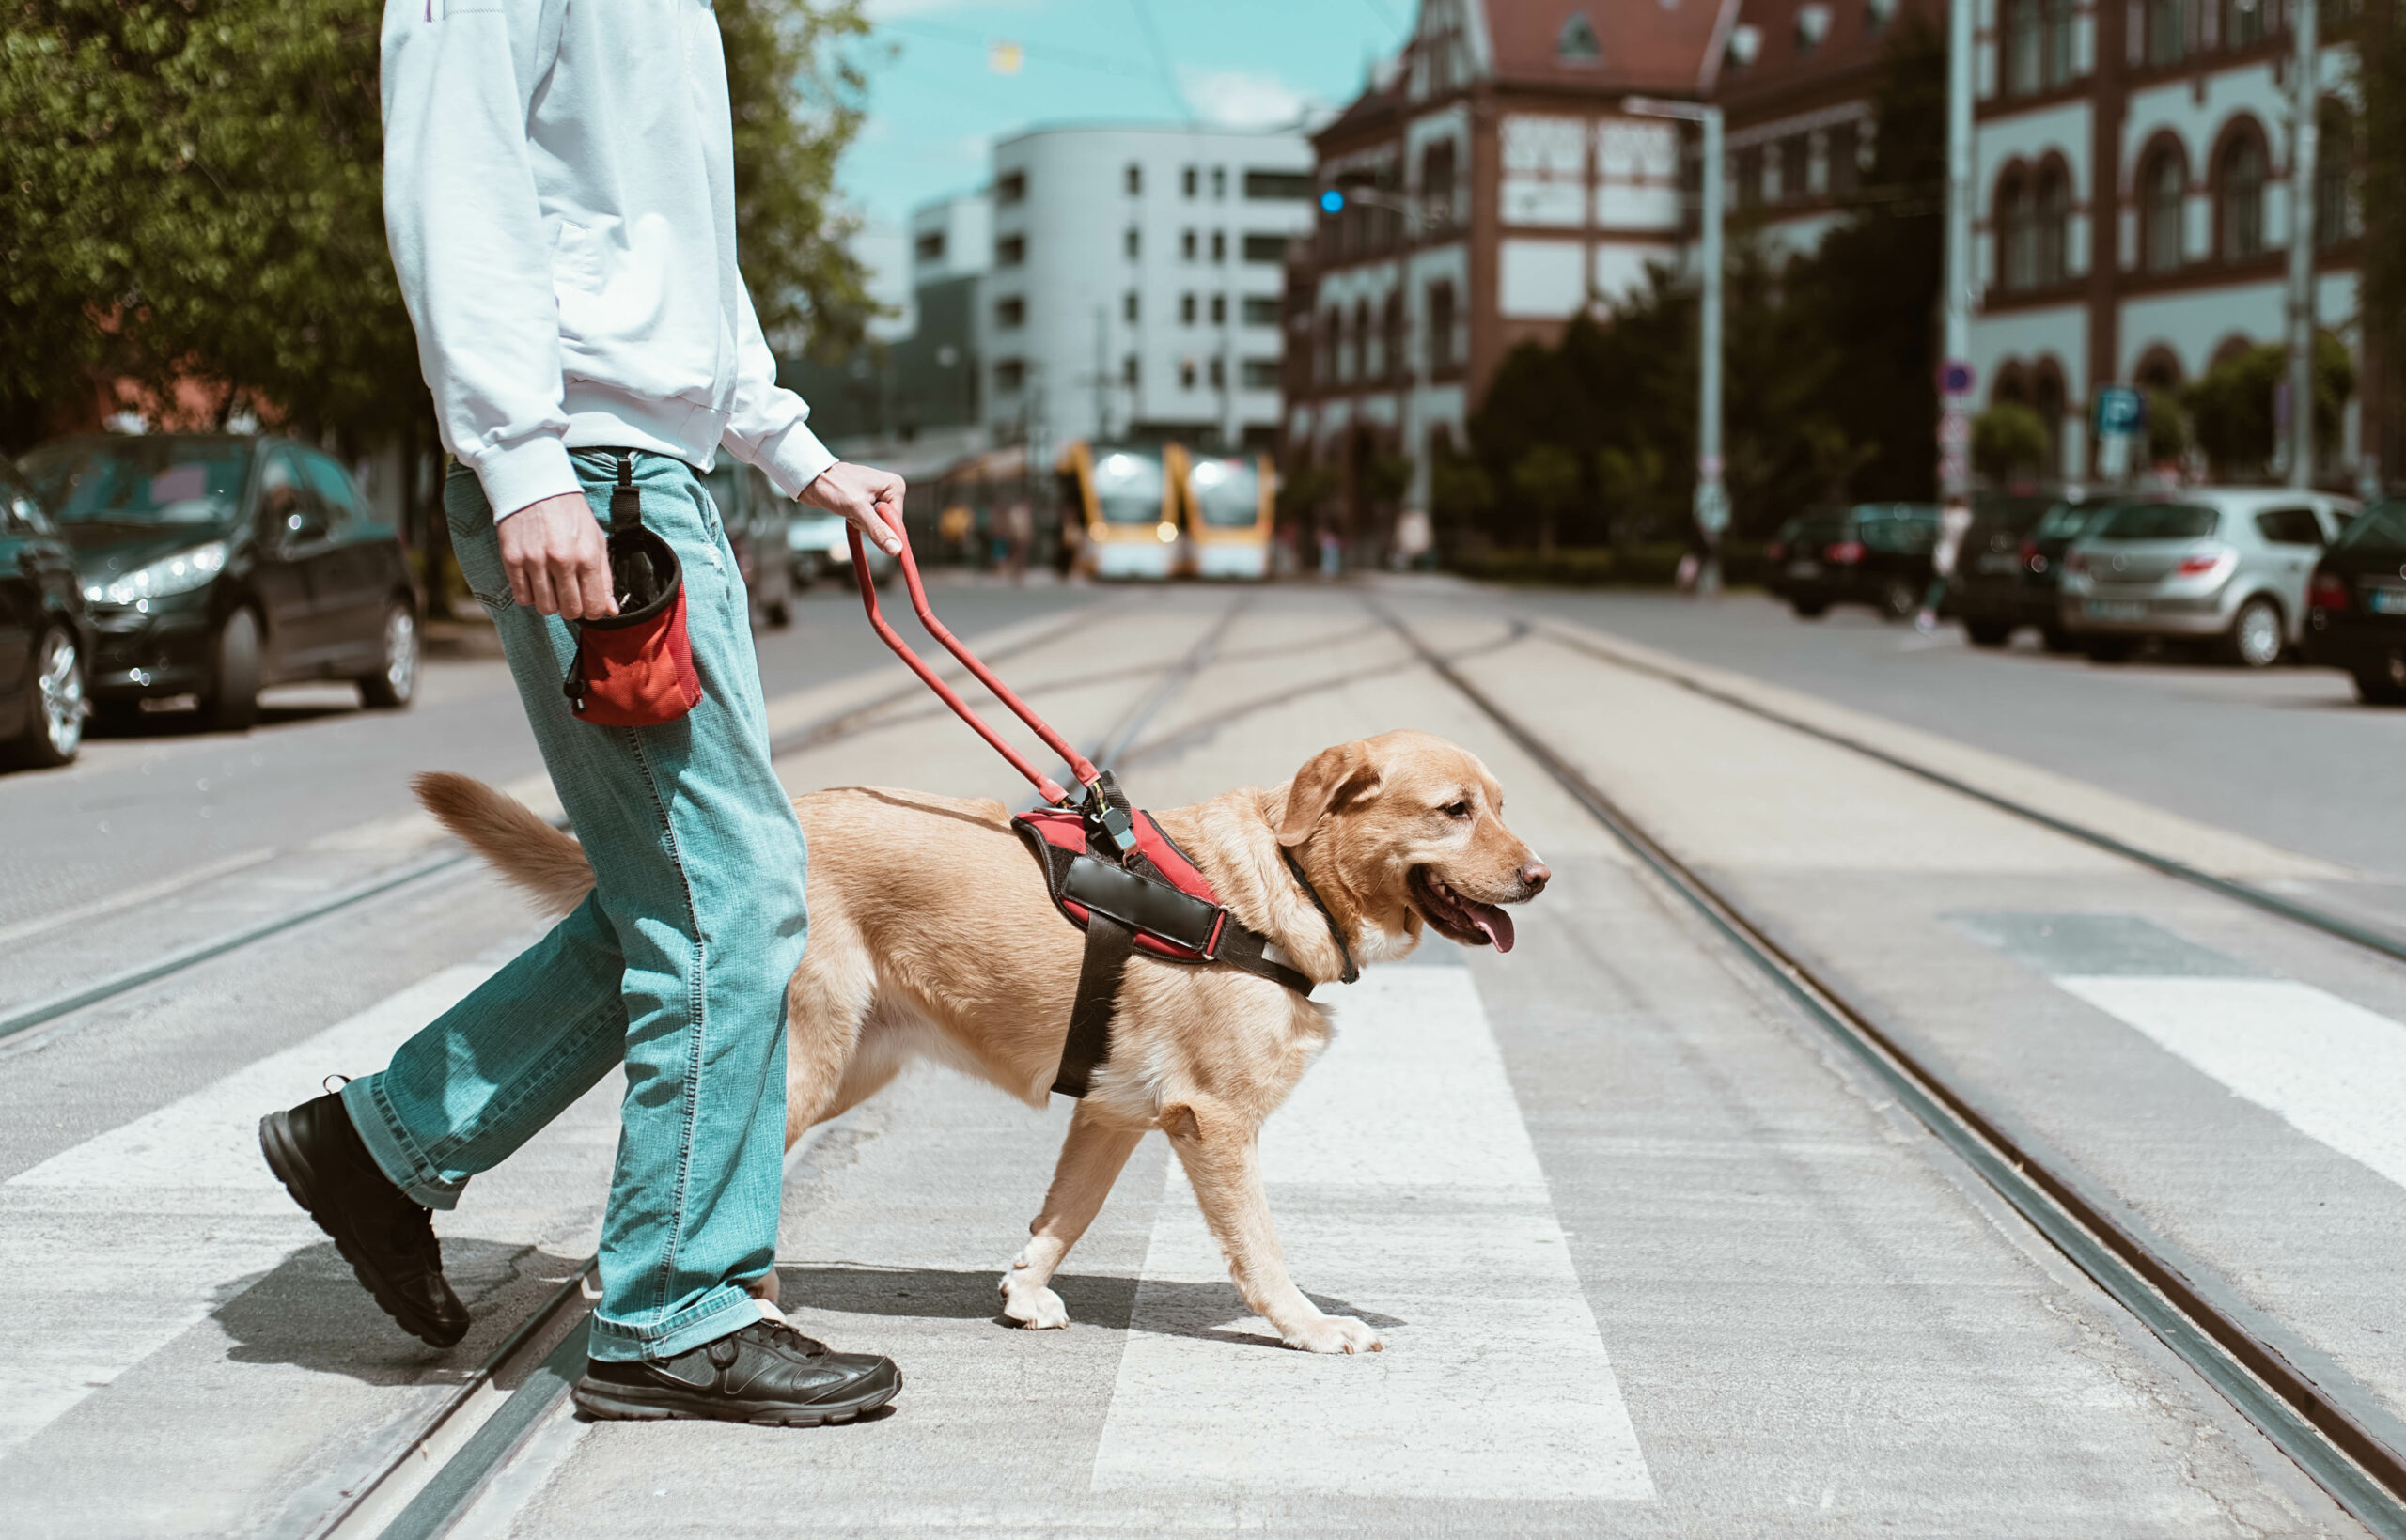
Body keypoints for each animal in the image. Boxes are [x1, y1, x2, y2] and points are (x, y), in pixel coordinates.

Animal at [423, 726, 1549, 1357]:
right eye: (1454, 810)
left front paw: (1024, 1292)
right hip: (804, 1063)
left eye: (1502, 803)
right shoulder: (1217, 1122)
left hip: (850, 1066)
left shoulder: (1114, 1115)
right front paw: (1311, 1327)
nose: (1539, 876)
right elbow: (1262, 1251)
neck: (1282, 883)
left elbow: (1064, 1215)